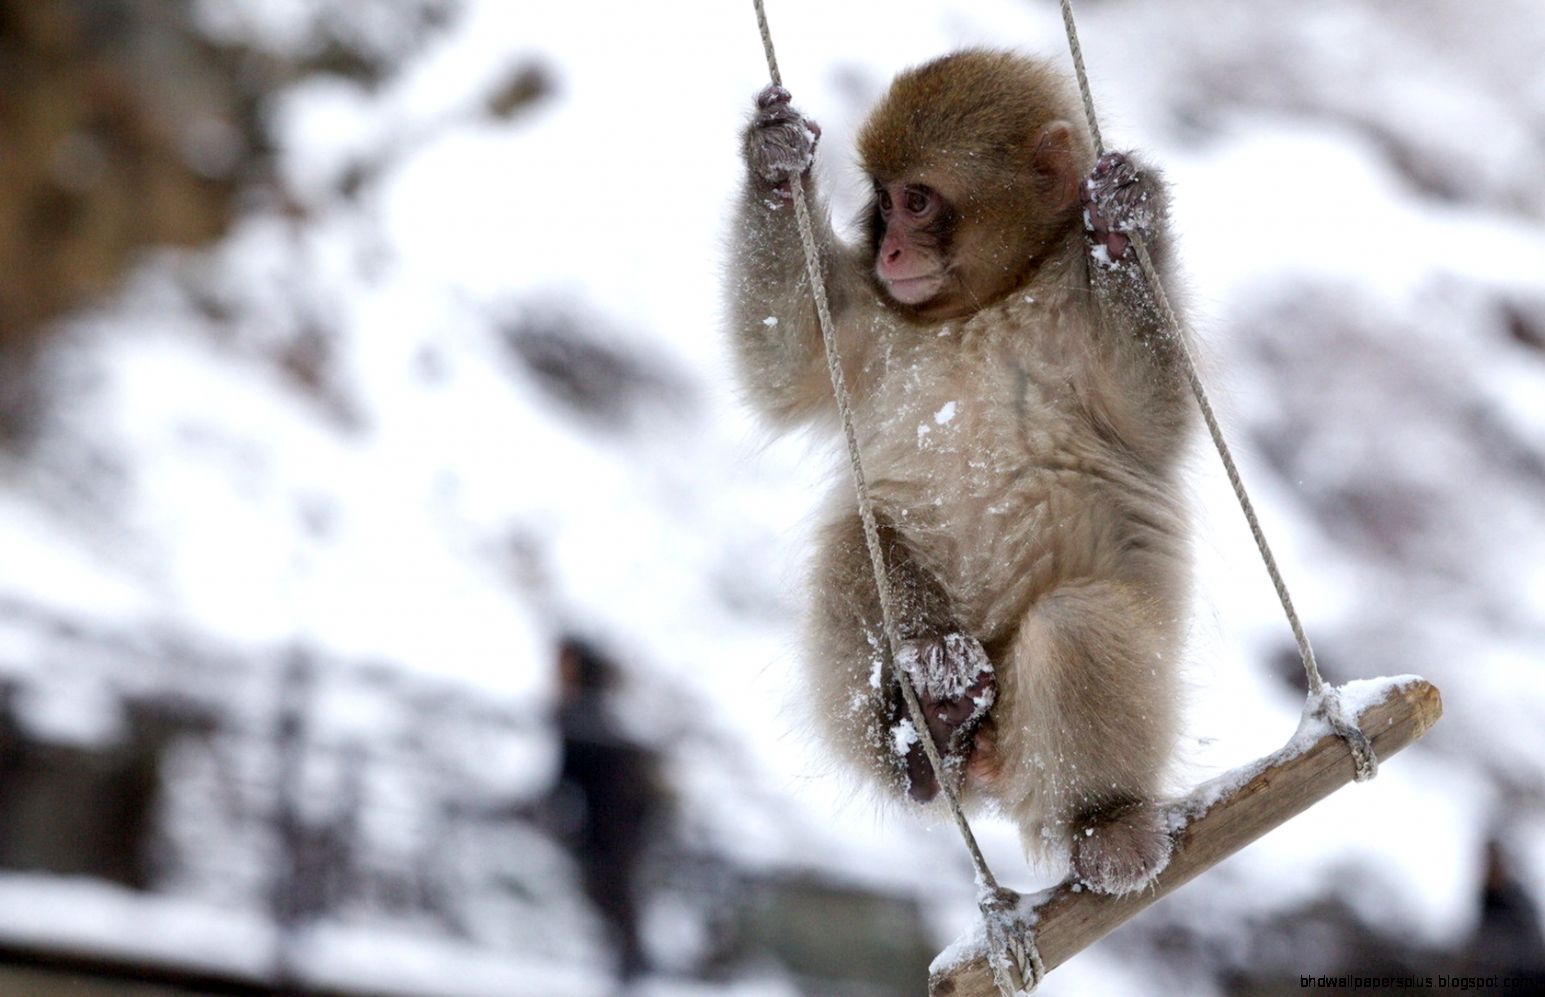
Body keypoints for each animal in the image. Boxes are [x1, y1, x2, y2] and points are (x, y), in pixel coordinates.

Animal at [726, 49, 1193, 896]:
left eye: (916, 201)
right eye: (882, 203)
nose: (889, 251)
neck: (987, 301)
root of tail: (991, 773)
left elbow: (1153, 418)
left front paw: (1119, 224)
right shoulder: (874, 320)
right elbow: (783, 358)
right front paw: (774, 161)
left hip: (1044, 750)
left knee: (1074, 625)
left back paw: (1103, 820)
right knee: (856, 538)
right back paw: (930, 724)